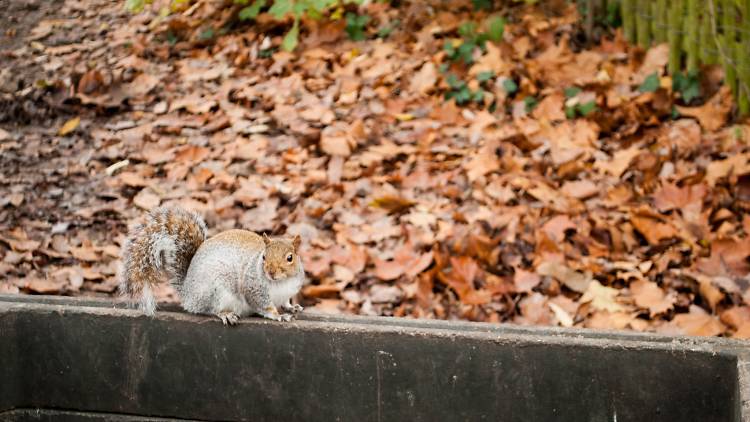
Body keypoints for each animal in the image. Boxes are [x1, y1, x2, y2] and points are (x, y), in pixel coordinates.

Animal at [119, 206, 306, 324]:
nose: (271, 272)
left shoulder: (288, 292)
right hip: (216, 291)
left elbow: (286, 302)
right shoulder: (254, 288)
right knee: (211, 309)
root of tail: (188, 293)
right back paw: (226, 314)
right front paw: (279, 316)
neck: (281, 283)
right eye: (264, 257)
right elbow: (264, 306)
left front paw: (292, 307)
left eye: (290, 258)